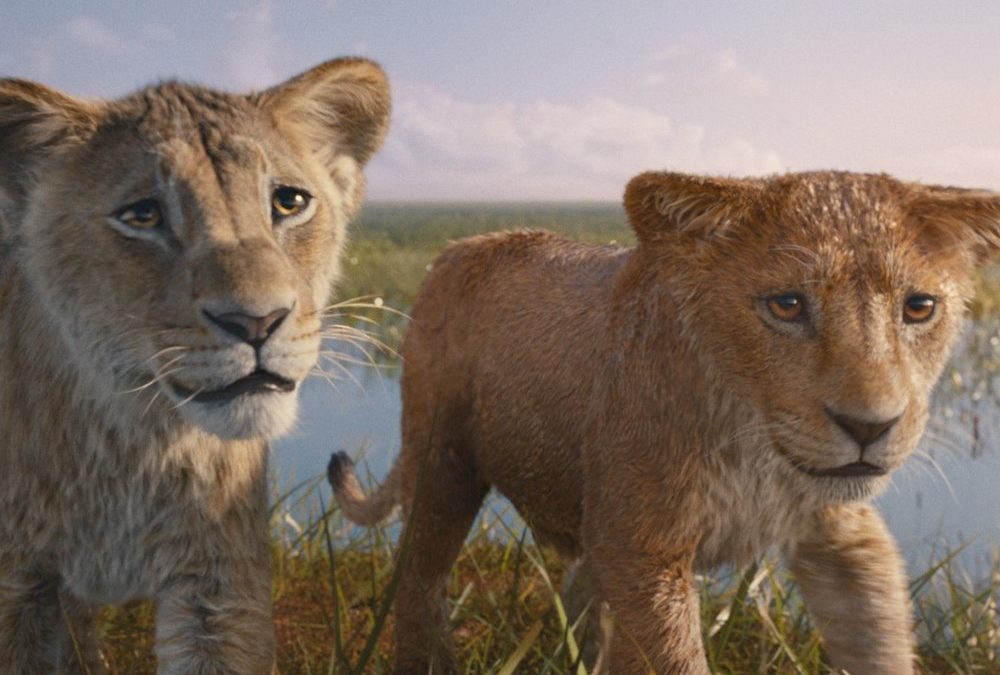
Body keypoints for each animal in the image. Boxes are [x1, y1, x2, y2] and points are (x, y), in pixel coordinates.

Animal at [0, 57, 388, 673]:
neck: (130, 446)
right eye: (142, 215)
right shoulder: (17, 588)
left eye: (289, 202)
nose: (257, 322)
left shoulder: (220, 589)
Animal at [329, 170, 1000, 674]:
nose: (869, 428)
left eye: (920, 307)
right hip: (443, 462)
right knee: (418, 578)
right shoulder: (644, 552)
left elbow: (880, 638)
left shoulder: (842, 534)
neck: (754, 446)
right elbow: (673, 658)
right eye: (787, 305)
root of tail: (456, 247)